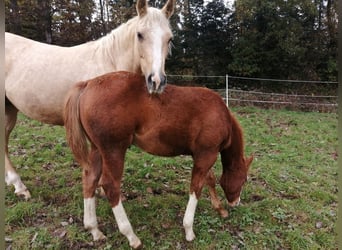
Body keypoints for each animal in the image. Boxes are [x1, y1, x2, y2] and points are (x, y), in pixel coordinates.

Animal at [64, 71, 252, 248]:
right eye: (243, 180)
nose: (236, 202)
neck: (220, 114)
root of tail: (88, 84)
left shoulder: (203, 155)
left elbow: (210, 179)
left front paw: (219, 209)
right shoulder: (207, 155)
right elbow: (196, 188)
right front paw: (189, 229)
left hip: (97, 149)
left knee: (90, 179)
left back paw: (94, 229)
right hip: (113, 150)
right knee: (110, 186)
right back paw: (131, 236)